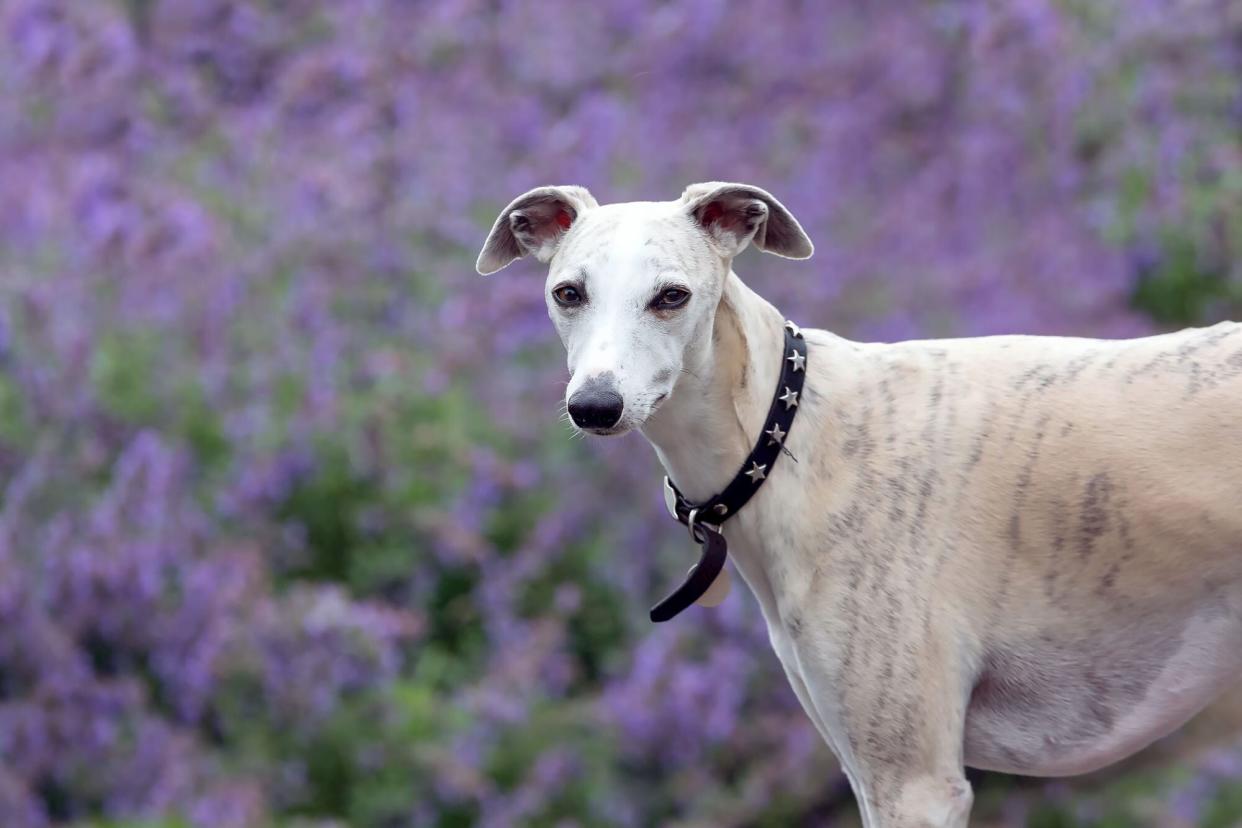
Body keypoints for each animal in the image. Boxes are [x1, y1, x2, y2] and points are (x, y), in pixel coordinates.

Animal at [474, 182, 1242, 828]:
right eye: (568, 292)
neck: (786, 431)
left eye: (671, 296)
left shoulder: (915, 783)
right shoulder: (866, 768)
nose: (594, 406)